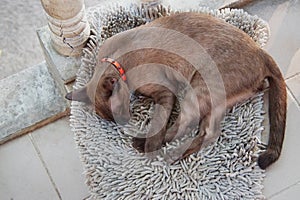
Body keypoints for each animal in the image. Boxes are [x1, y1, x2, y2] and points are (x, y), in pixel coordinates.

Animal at [67, 12, 288, 169]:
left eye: (120, 110)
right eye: (111, 118)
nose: (123, 122)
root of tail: (260, 51)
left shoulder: (164, 93)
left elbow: (158, 122)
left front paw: (151, 148)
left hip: (199, 86)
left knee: (188, 123)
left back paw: (151, 149)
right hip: (214, 100)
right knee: (208, 132)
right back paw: (166, 153)